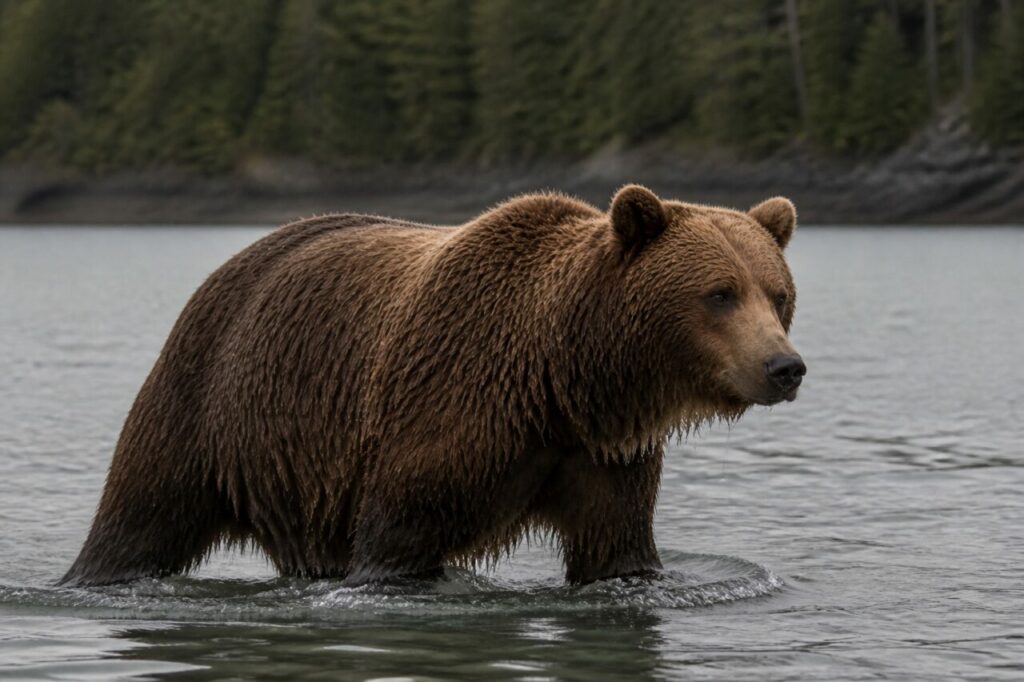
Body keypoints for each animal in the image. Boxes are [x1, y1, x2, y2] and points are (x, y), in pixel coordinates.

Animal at [60, 185, 805, 587]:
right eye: (719, 293)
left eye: (778, 293)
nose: (784, 367)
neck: (560, 375)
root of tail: (246, 254)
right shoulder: (444, 406)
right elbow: (397, 539)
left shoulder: (605, 453)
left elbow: (615, 548)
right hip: (209, 400)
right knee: (139, 516)